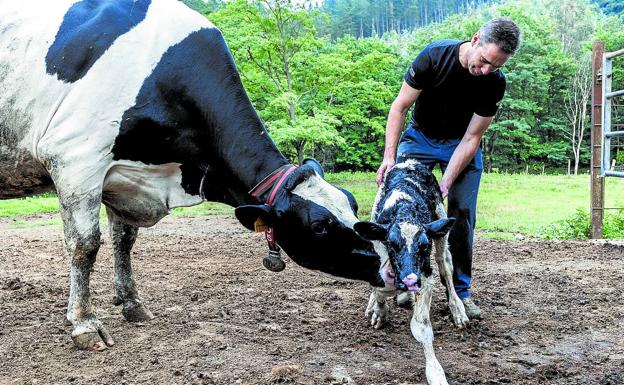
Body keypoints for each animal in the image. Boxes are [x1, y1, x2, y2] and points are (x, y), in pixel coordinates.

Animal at [0, 0, 382, 350]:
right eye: (319, 225)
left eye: (352, 203)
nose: (386, 258)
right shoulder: (77, 158)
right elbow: (85, 245)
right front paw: (84, 323)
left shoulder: (122, 178)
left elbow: (124, 240)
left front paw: (132, 303)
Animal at [354, 160, 470, 384]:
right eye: (391, 243)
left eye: (424, 245)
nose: (409, 280)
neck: (404, 208)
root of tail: (411, 162)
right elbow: (379, 288)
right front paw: (379, 311)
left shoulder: (425, 276)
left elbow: (422, 327)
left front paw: (435, 372)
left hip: (441, 228)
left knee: (446, 266)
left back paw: (457, 309)